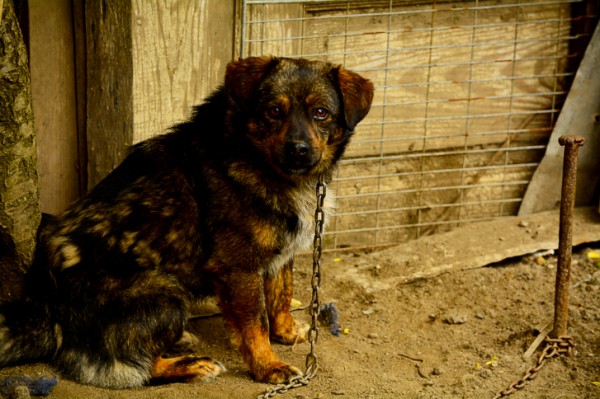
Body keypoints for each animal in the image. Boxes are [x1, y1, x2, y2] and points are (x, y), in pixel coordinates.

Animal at [0, 55, 372, 388]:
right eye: (273, 112)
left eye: (321, 113)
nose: (298, 149)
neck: (259, 162)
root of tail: (48, 314)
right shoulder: (238, 269)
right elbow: (256, 326)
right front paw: (268, 367)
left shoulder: (280, 256)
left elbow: (281, 297)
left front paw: (288, 333)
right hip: (166, 293)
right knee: (133, 366)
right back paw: (191, 365)